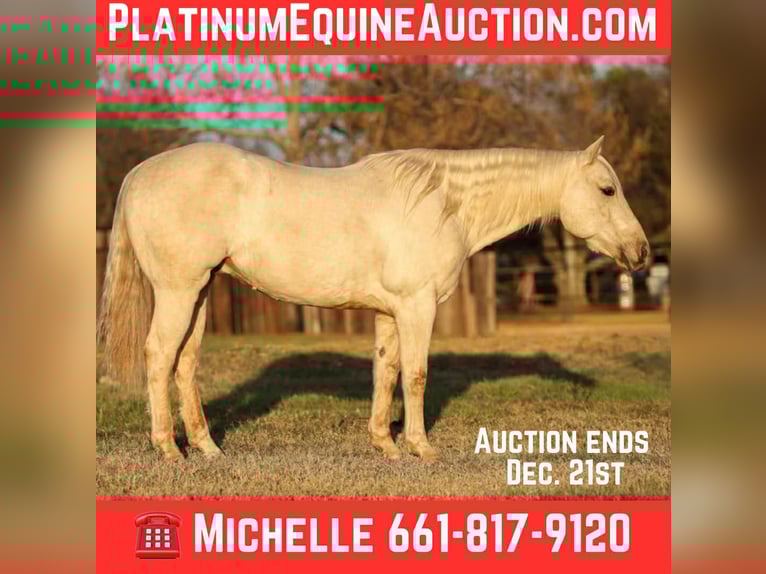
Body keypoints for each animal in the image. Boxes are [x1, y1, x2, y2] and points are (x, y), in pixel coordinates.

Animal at [97, 136, 650, 462]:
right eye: (606, 189)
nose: (641, 251)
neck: (443, 202)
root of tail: (139, 173)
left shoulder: (390, 312)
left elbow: (386, 371)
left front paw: (385, 443)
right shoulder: (417, 306)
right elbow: (417, 374)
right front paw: (422, 448)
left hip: (201, 291)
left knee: (185, 363)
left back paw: (208, 448)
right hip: (179, 290)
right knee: (158, 356)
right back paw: (169, 449)